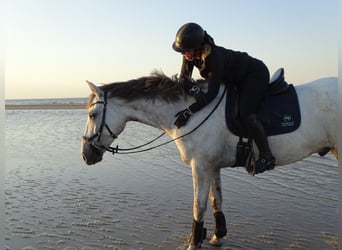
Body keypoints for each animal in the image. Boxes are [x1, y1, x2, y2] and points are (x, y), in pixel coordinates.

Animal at [81, 71, 338, 250]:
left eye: (92, 115)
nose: (86, 155)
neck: (189, 112)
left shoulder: (201, 167)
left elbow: (199, 206)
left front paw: (194, 242)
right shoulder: (212, 167)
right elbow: (217, 202)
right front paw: (216, 236)